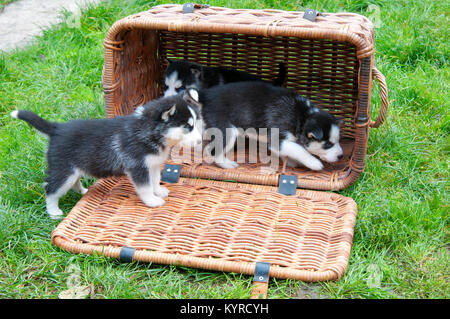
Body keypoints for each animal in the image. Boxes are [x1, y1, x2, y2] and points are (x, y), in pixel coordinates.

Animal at [10, 90, 202, 220]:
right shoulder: (137, 167)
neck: (149, 131)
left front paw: (158, 191)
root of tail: (57, 128)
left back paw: (82, 190)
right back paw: (53, 211)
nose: (200, 141)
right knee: (50, 189)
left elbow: (154, 180)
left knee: (73, 181)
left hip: (73, 169)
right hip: (64, 171)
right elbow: (145, 186)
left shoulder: (153, 165)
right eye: (188, 126)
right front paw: (151, 201)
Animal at [198, 82, 344, 172]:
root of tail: (206, 94)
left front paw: (291, 162)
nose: (341, 156)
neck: (303, 116)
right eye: (328, 144)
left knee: (208, 147)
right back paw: (226, 164)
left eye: (338, 141)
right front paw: (313, 162)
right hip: (227, 132)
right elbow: (299, 149)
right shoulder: (277, 139)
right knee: (215, 151)